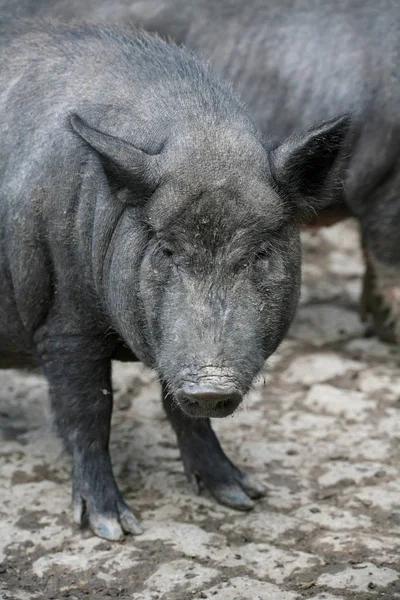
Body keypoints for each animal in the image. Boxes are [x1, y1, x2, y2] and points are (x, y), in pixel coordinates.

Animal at [0, 22, 350, 540]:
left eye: (260, 252)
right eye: (166, 250)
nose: (211, 385)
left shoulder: (173, 347)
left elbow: (182, 412)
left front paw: (243, 497)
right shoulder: (62, 321)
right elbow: (88, 410)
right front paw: (116, 528)